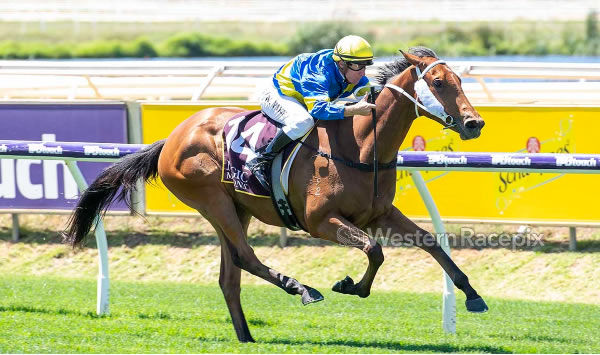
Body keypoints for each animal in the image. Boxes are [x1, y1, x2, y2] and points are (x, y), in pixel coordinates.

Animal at [63, 47, 488, 342]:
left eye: (460, 81)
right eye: (438, 83)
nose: (474, 123)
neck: (361, 147)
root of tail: (173, 138)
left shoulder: (379, 214)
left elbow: (430, 242)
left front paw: (472, 294)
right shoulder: (320, 221)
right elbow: (374, 249)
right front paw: (350, 286)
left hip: (236, 208)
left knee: (230, 273)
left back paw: (246, 336)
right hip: (211, 200)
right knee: (246, 257)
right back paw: (303, 289)